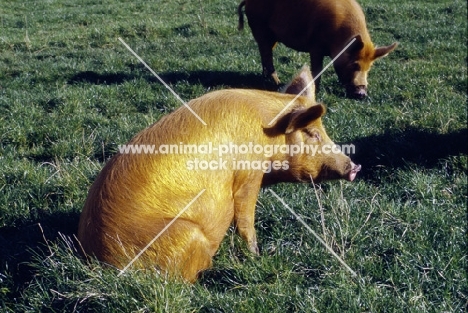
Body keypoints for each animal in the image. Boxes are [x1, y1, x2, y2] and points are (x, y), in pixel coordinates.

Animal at [77, 67, 362, 282]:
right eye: (313, 133)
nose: (354, 167)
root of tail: (100, 259)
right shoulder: (248, 174)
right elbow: (245, 216)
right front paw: (257, 255)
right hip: (186, 234)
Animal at [238, 0, 398, 98]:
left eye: (369, 68)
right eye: (355, 64)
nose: (362, 94)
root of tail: (248, 1)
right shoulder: (315, 47)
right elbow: (317, 69)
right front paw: (316, 90)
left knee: (265, 53)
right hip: (260, 27)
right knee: (265, 52)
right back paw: (276, 83)